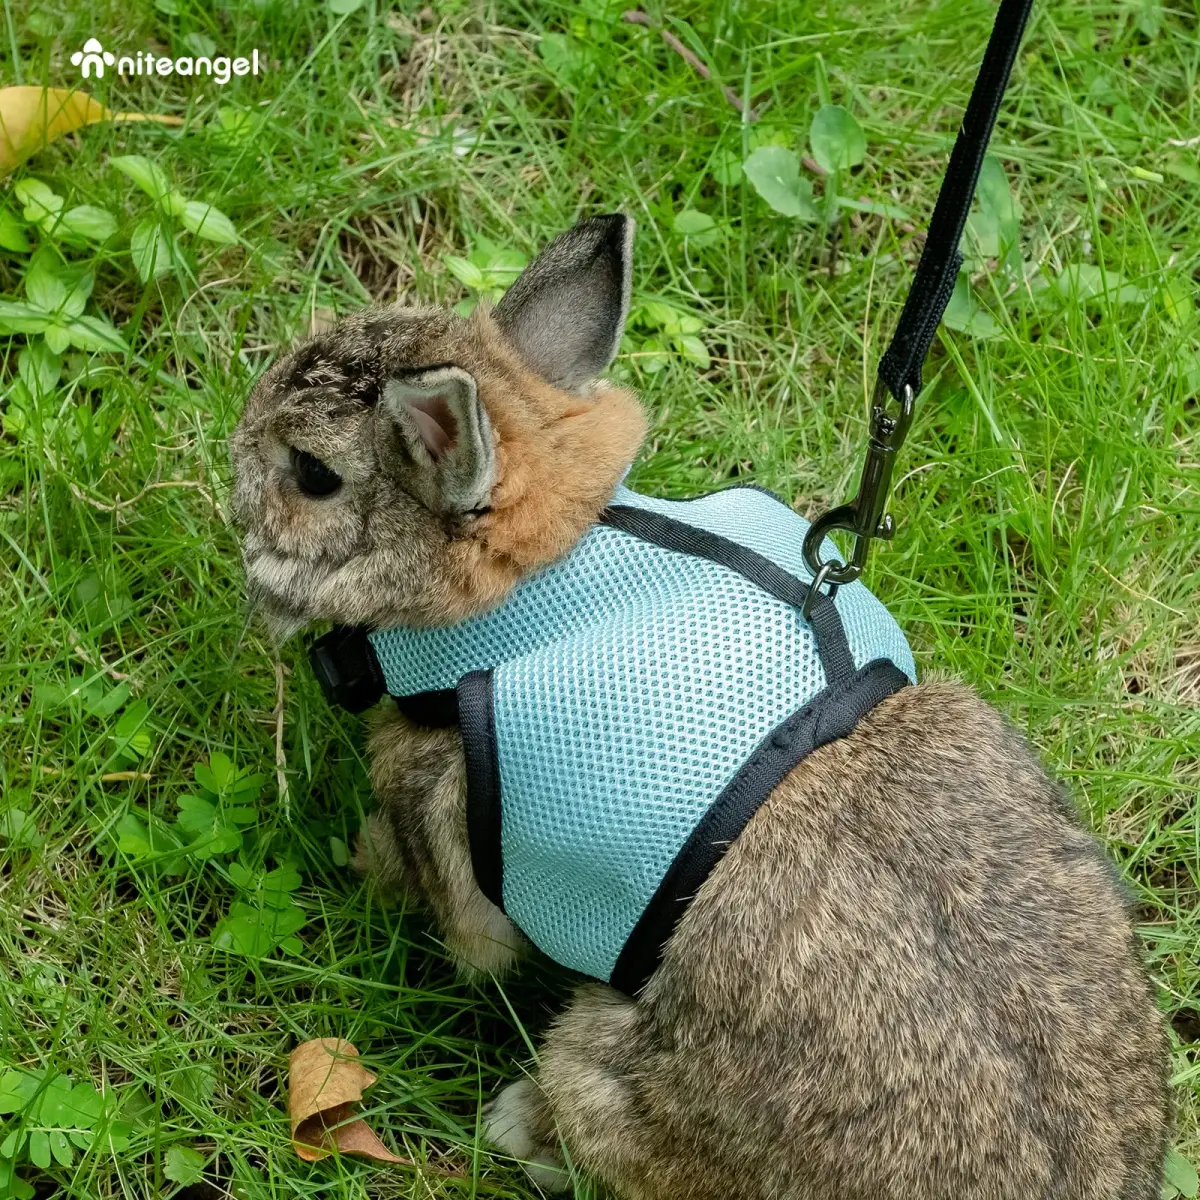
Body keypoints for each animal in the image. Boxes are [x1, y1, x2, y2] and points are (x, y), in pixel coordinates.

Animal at [229, 213, 1170, 1200]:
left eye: (312, 474)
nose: (233, 466)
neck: (541, 573)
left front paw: (362, 858)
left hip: (608, 1074)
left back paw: (519, 1124)